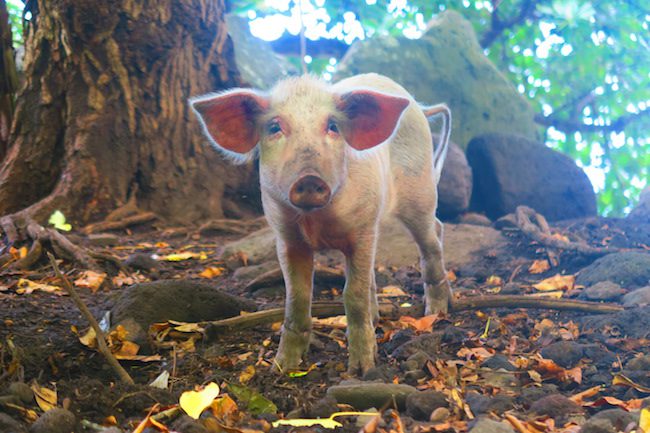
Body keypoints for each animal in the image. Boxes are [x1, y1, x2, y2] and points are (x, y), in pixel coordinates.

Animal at [190, 72, 448, 372]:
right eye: (274, 127)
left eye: (333, 126)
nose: (309, 179)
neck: (317, 223)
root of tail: (419, 107)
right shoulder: (287, 238)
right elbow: (297, 297)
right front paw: (282, 368)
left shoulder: (362, 230)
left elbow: (353, 294)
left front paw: (362, 369)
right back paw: (378, 318)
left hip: (420, 192)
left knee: (432, 237)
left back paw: (438, 311)